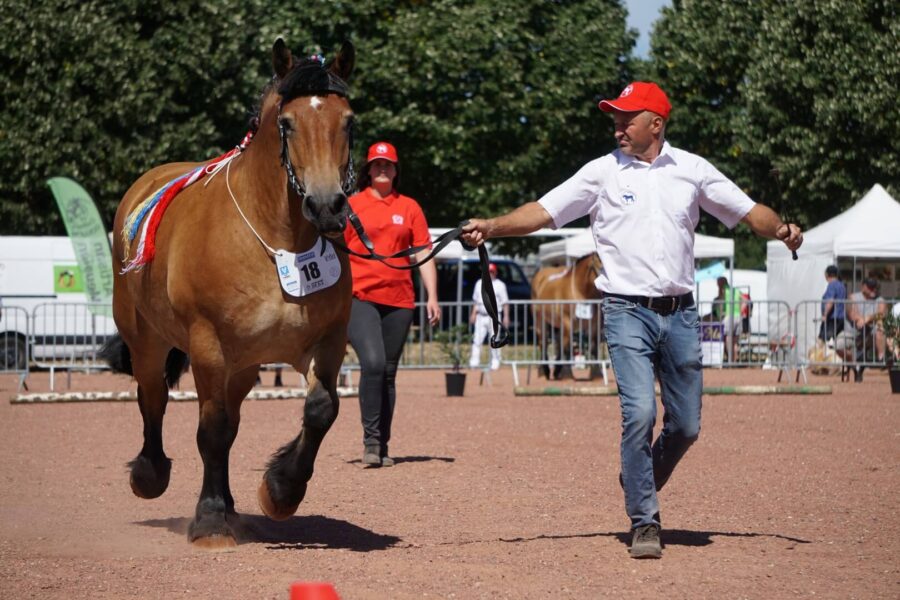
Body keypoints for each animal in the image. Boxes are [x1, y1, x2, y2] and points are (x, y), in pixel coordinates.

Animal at [104, 39, 356, 552]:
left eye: (348, 122)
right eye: (287, 123)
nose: (327, 206)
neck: (277, 240)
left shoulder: (328, 340)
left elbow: (322, 409)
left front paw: (280, 490)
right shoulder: (208, 347)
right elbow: (211, 430)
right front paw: (210, 520)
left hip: (242, 366)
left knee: (230, 419)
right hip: (148, 341)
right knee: (153, 397)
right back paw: (151, 475)